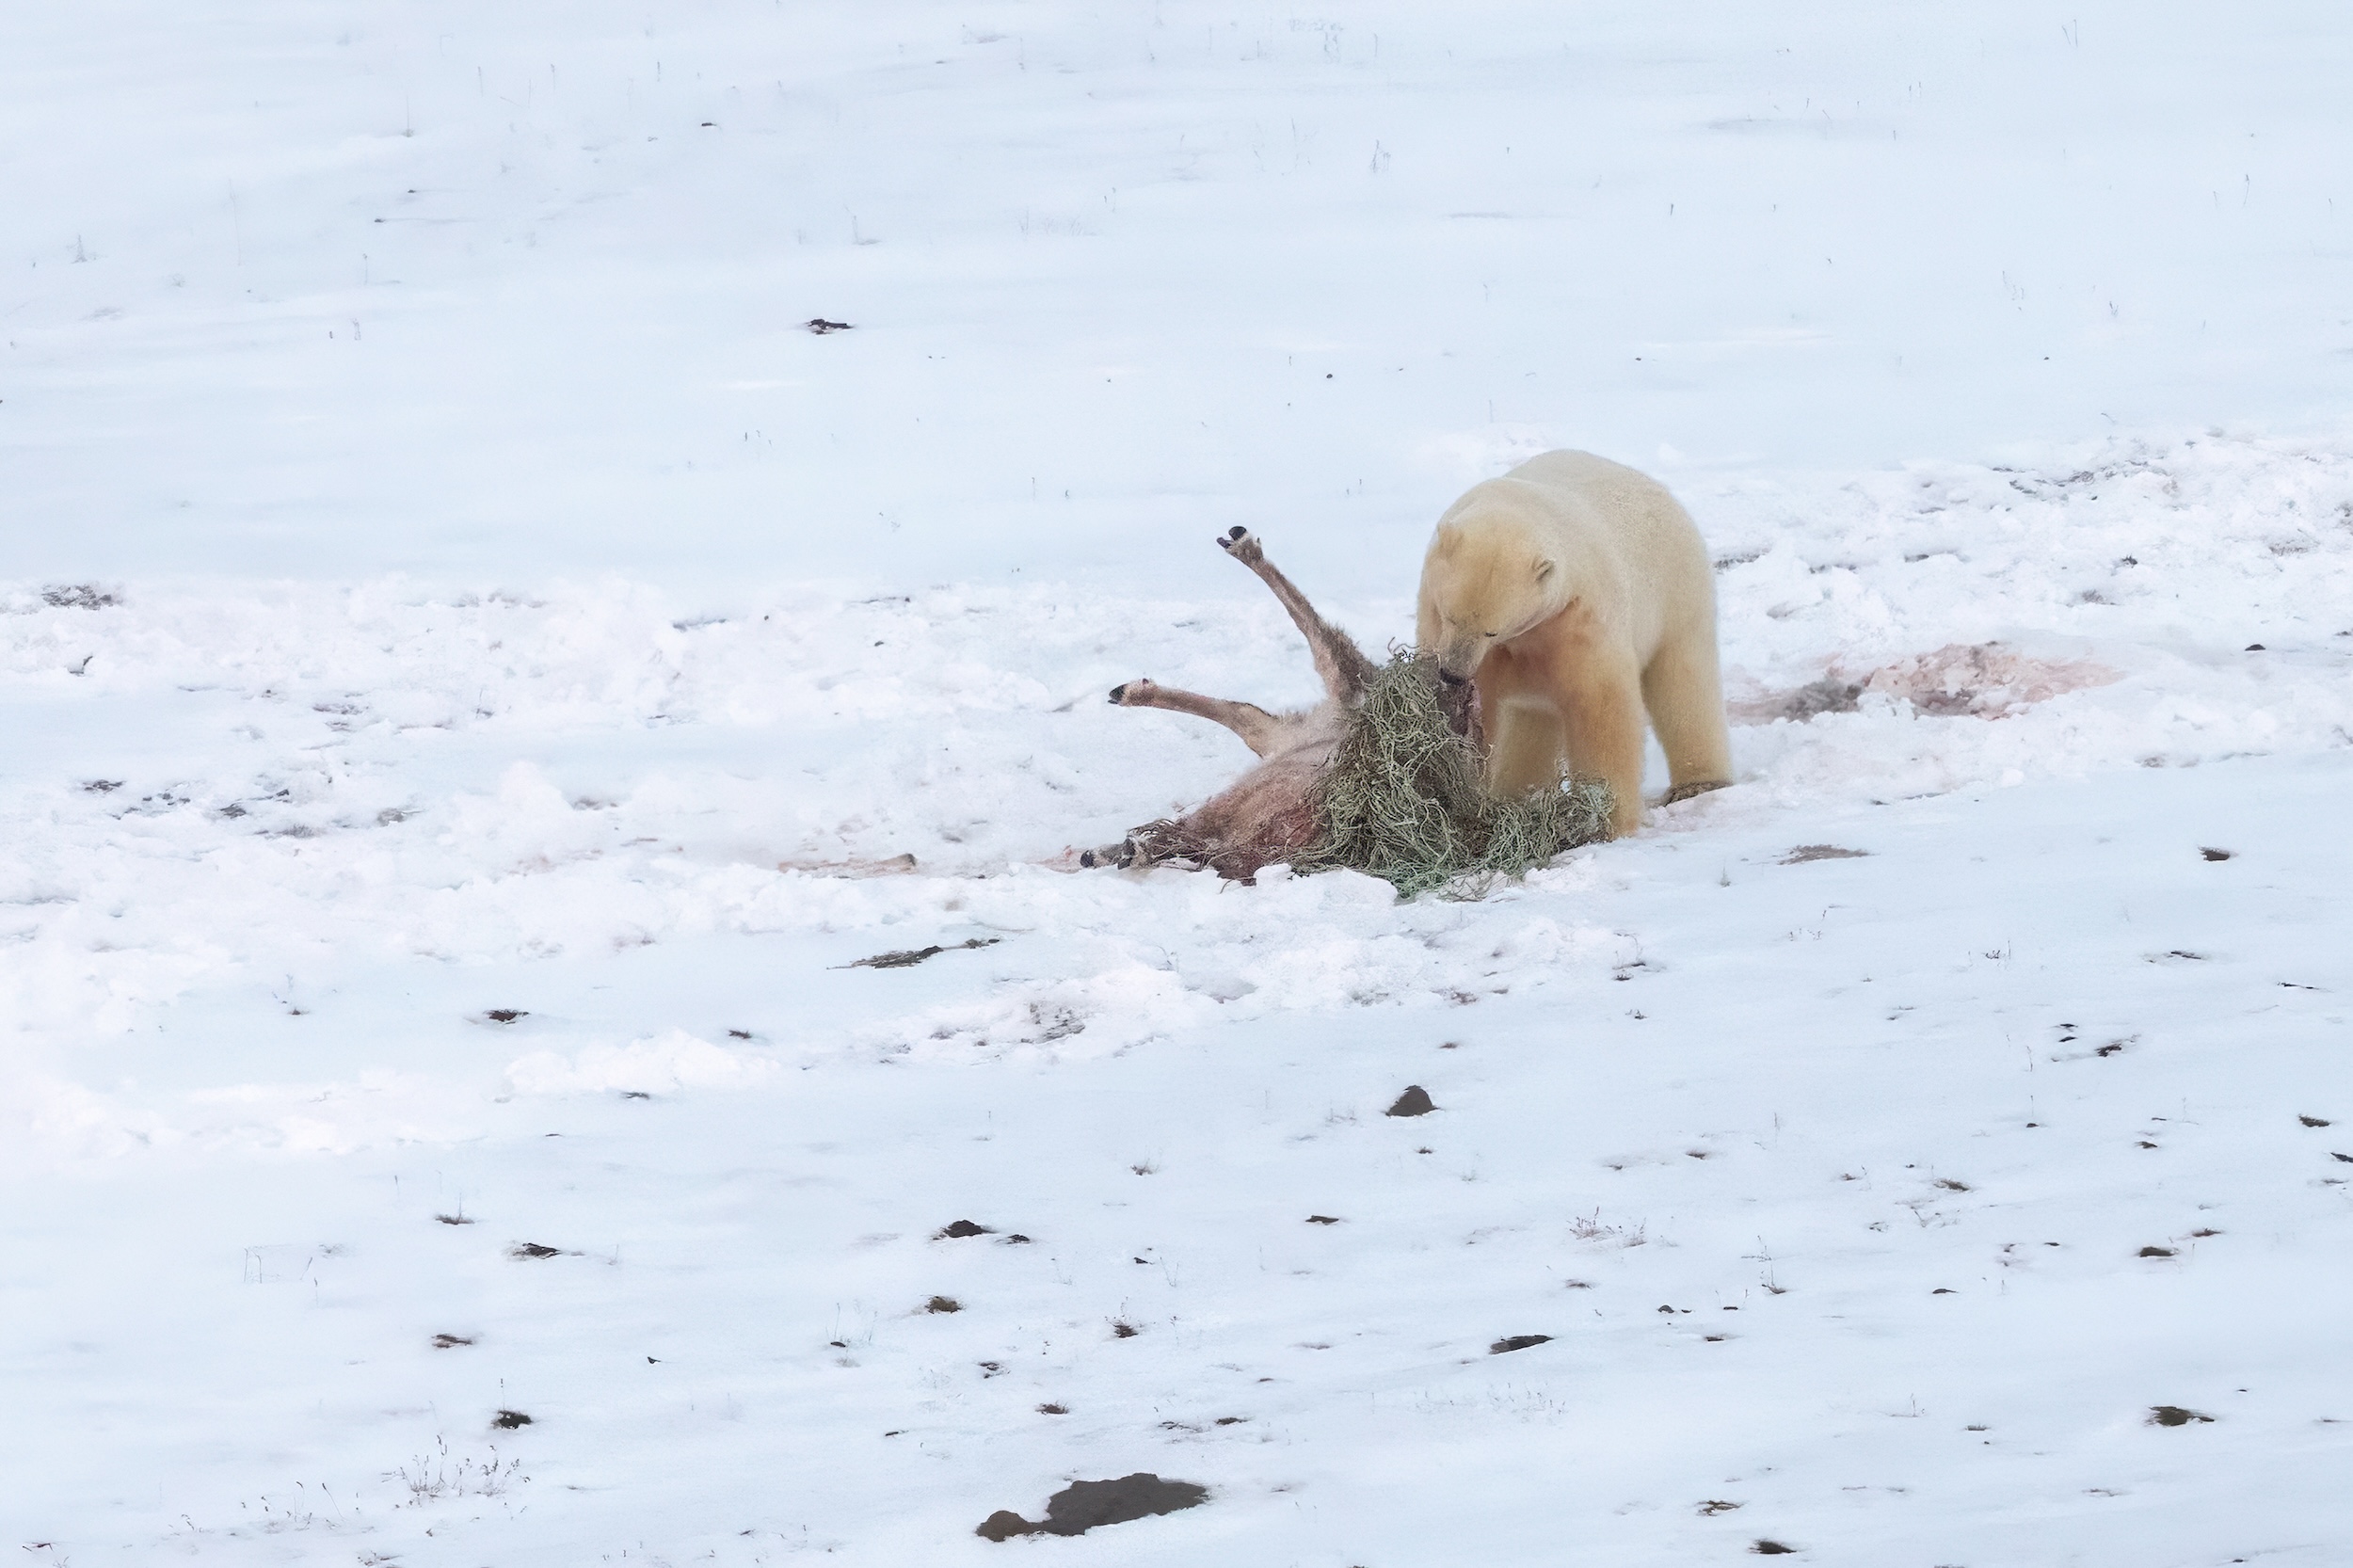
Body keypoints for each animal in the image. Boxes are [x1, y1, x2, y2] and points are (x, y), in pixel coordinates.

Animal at [1415, 449, 1733, 837]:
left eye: (1490, 631)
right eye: (1449, 616)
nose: (1453, 673)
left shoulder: (1578, 617)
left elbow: (1600, 707)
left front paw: (1608, 821)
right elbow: (1488, 713)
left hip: (1677, 593)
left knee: (1684, 682)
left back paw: (1700, 783)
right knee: (1531, 720)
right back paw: (1519, 794)